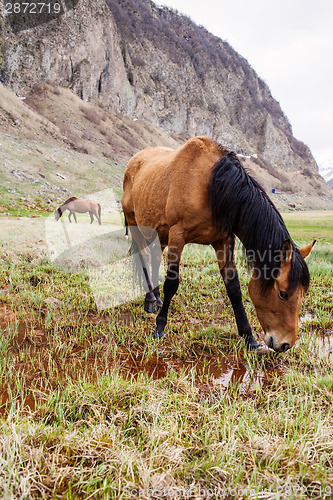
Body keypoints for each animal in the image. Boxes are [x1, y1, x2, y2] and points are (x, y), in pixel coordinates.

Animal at [122, 137, 314, 354]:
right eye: (283, 293)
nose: (285, 344)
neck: (210, 185)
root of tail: (134, 161)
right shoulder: (177, 235)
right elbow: (172, 283)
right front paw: (160, 328)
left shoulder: (223, 240)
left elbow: (233, 287)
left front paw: (248, 336)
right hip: (136, 225)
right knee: (144, 260)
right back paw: (150, 301)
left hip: (159, 235)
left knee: (154, 260)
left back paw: (156, 297)